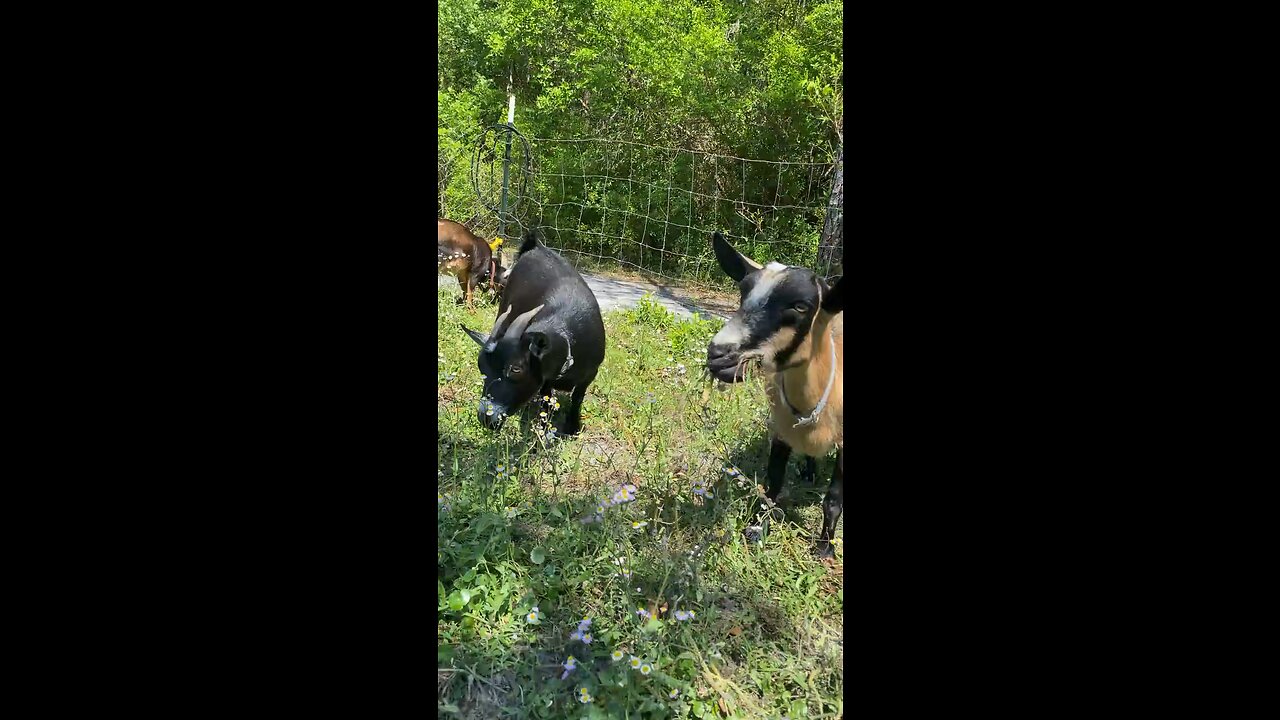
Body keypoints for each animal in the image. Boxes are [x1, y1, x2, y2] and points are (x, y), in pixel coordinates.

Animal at [706, 229, 844, 556]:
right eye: (743, 293)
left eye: (801, 306)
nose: (718, 355)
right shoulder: (781, 428)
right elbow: (772, 484)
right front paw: (757, 530)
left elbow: (833, 500)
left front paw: (825, 548)